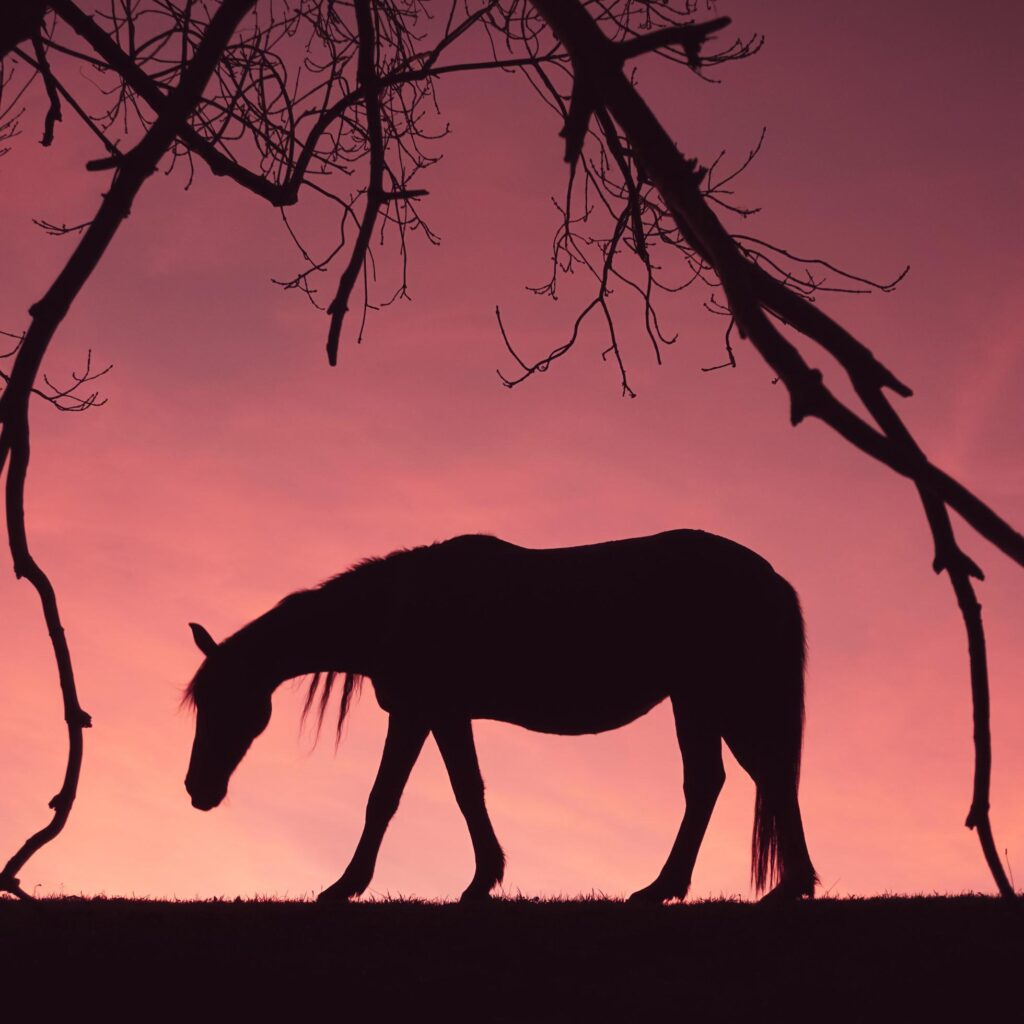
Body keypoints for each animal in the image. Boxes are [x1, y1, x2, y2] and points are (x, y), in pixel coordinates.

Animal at [184, 532, 819, 901]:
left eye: (224, 702)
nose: (197, 790)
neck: (393, 608)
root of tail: (770, 576)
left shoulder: (417, 710)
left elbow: (384, 797)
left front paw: (345, 886)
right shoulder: (444, 713)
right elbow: (468, 789)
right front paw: (482, 878)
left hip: (720, 696)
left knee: (758, 777)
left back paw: (770, 887)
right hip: (697, 700)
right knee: (723, 780)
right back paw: (684, 887)